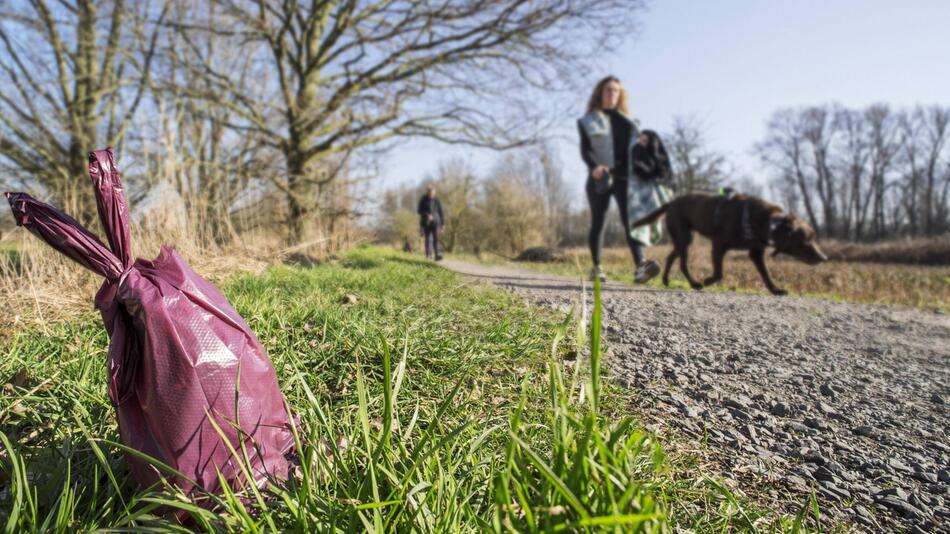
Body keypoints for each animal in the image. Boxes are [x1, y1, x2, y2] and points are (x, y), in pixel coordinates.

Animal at [636, 194, 828, 298]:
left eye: (812, 237)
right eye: (806, 239)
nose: (824, 257)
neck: (767, 222)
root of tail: (673, 202)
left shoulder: (756, 252)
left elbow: (766, 275)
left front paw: (776, 290)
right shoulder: (718, 244)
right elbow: (719, 273)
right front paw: (707, 280)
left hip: (684, 238)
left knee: (671, 257)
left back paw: (666, 280)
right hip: (683, 236)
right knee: (683, 263)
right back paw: (695, 283)